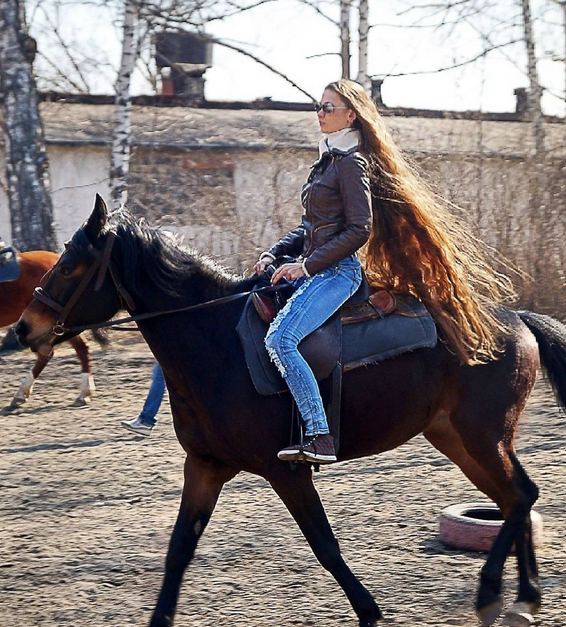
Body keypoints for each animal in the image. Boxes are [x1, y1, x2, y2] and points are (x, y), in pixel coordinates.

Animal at [15, 199, 566, 627]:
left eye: (69, 266)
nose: (23, 328)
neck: (217, 344)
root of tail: (515, 319)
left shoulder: (287, 470)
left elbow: (324, 544)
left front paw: (370, 611)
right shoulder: (205, 466)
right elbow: (179, 550)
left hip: (480, 436)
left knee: (520, 496)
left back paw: (496, 594)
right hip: (456, 437)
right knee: (515, 498)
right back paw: (522, 599)